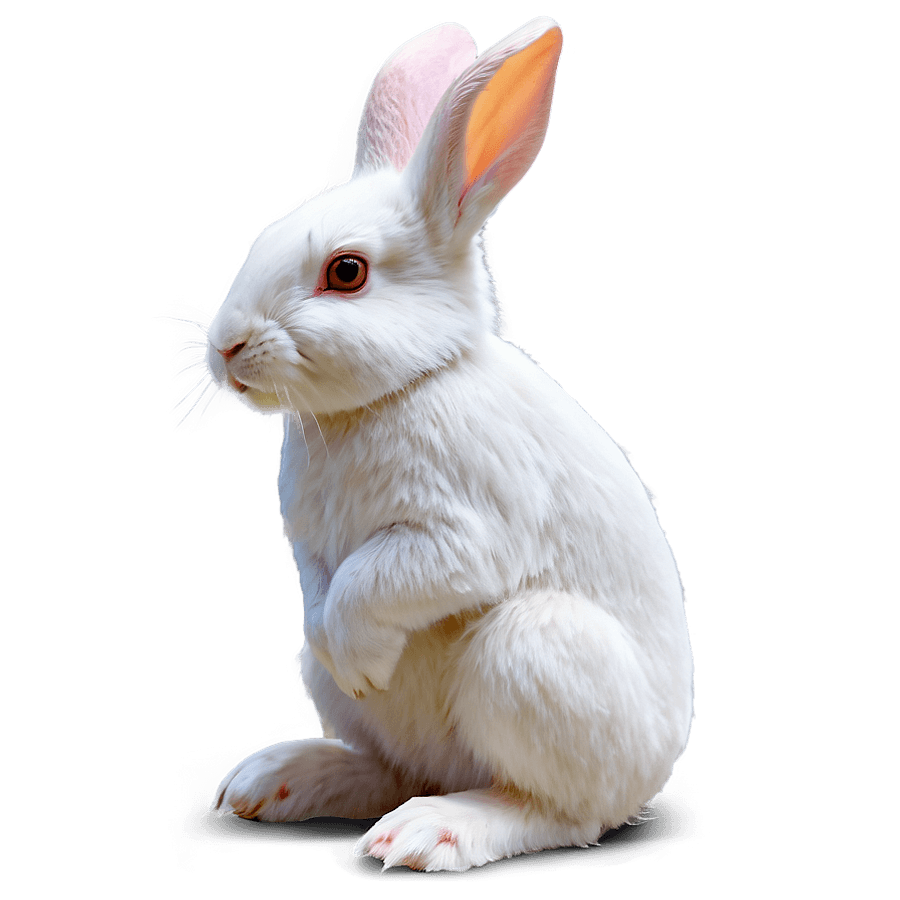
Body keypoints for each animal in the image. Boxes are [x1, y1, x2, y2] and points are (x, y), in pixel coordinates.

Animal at [162, 16, 694, 872]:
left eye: (347, 272)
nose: (225, 348)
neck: (394, 392)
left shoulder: (461, 532)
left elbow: (376, 580)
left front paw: (363, 658)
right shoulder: (308, 545)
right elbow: (320, 592)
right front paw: (352, 665)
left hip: (525, 654)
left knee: (557, 813)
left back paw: (431, 830)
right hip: (333, 687)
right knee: (391, 768)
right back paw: (272, 780)